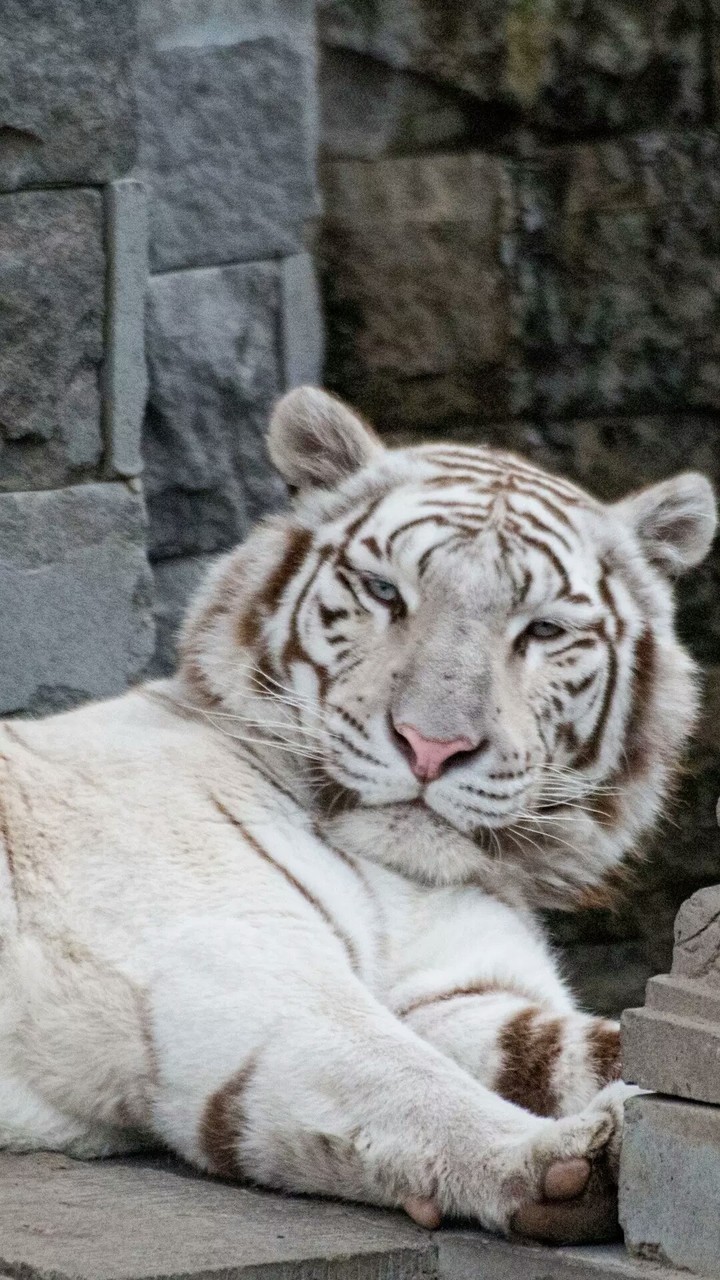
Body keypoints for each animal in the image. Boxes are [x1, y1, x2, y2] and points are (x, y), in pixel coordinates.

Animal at [0, 387, 715, 1244]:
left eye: (543, 630)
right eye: (384, 593)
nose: (432, 745)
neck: (407, 875)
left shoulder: (460, 991)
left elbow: (574, 1046)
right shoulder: (238, 954)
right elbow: (402, 1075)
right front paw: (570, 1156)